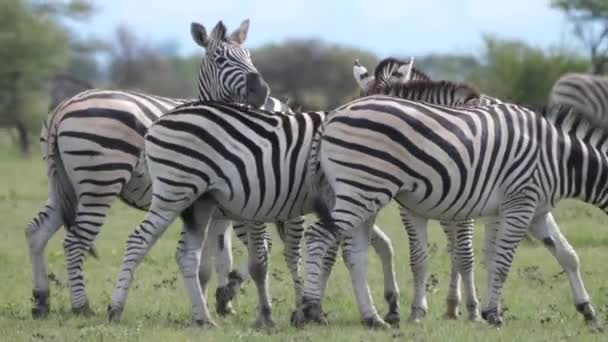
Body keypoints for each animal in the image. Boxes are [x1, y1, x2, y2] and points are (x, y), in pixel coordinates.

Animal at [26, 18, 290, 318]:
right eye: (220, 59)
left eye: (249, 56)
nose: (261, 91)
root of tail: (63, 107)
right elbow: (252, 249)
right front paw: (224, 296)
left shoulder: (219, 205)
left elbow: (220, 253)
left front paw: (222, 301)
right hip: (100, 182)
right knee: (75, 241)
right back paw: (82, 305)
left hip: (62, 184)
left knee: (36, 231)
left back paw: (41, 300)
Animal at [296, 94, 604, 332]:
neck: (559, 157)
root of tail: (334, 114)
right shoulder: (520, 202)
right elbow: (502, 262)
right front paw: (493, 314)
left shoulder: (537, 211)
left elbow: (567, 255)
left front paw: (588, 311)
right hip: (361, 189)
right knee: (316, 236)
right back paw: (311, 310)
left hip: (364, 192)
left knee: (355, 254)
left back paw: (373, 319)